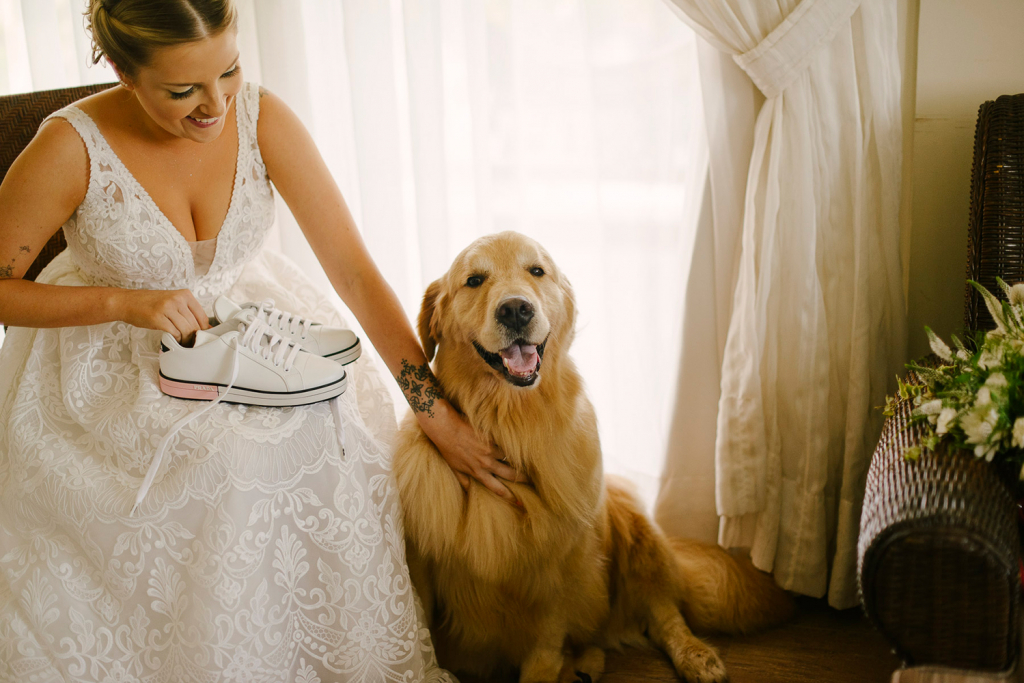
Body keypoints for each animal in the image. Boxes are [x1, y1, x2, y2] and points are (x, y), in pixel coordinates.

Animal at [391, 232, 790, 679]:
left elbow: (546, 640)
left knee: (663, 612)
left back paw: (694, 656)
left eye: (536, 271)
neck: (511, 421)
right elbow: (422, 625)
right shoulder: (419, 559)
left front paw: (544, 672)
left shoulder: (560, 558)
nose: (516, 309)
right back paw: (586, 662)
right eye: (474, 280)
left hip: (633, 530)